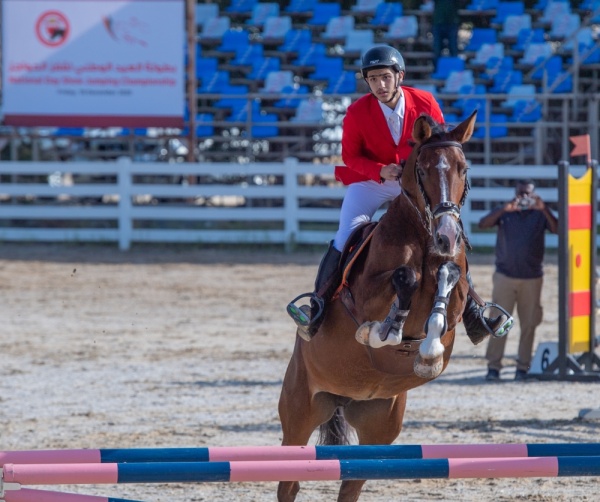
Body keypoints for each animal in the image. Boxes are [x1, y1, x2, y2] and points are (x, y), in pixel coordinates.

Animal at [278, 112, 480, 500]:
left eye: (463, 168)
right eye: (423, 169)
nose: (447, 236)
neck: (424, 235)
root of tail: (344, 398)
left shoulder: (456, 296)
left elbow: (446, 284)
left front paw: (428, 353)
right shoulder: (365, 295)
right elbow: (405, 277)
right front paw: (384, 331)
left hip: (380, 427)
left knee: (352, 481)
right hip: (299, 413)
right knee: (289, 482)